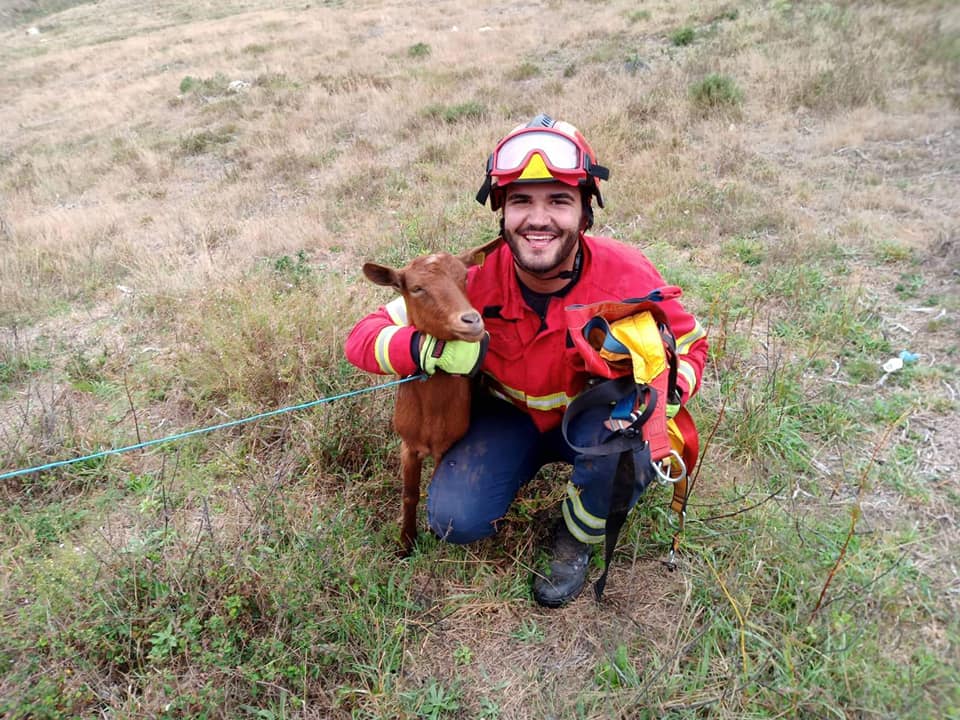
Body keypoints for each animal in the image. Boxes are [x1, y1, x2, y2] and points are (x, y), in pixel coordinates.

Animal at [362, 239, 502, 556]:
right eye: (416, 288)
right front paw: (405, 544)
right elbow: (409, 495)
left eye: (464, 278)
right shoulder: (408, 445)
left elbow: (433, 495)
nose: (472, 321)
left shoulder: (446, 446)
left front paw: (432, 536)